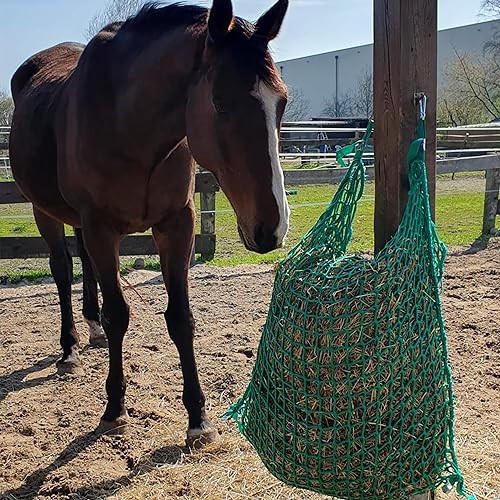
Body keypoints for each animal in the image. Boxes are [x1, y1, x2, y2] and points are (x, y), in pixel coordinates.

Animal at [9, 0, 292, 446]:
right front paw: (114, 408)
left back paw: (91, 328)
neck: (129, 126)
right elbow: (119, 315)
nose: (272, 228)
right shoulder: (101, 228)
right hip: (45, 211)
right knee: (62, 270)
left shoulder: (177, 225)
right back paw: (70, 349)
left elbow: (181, 318)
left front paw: (198, 418)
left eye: (280, 103)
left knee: (83, 265)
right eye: (220, 101)